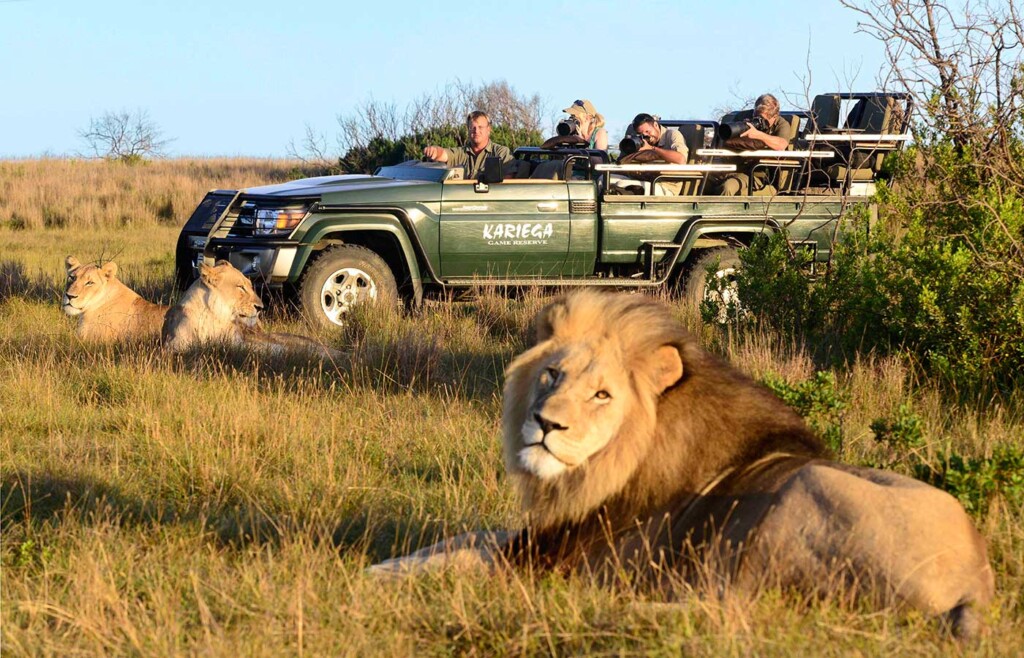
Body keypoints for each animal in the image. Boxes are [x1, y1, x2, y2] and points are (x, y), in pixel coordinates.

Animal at [163, 259, 344, 358]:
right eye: (240, 287)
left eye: (250, 286)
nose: (260, 307)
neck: (215, 317)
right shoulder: (173, 346)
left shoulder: (241, 342)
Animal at [374, 292, 991, 638]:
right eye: (552, 374)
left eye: (602, 395)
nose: (546, 424)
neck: (596, 474)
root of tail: (977, 584)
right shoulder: (543, 534)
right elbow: (465, 538)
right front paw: (390, 561)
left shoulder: (559, 558)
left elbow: (466, 558)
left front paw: (378, 573)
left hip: (799, 501)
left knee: (737, 611)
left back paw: (621, 610)